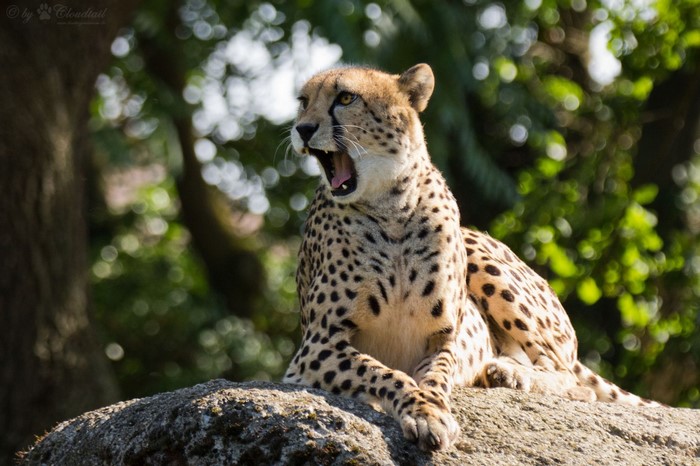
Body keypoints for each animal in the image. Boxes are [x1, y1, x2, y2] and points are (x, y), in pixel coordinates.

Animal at [282, 63, 660, 452]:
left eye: (346, 98)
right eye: (303, 101)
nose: (303, 129)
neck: (391, 207)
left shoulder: (444, 337)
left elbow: (434, 376)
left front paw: (431, 409)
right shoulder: (316, 348)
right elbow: (387, 374)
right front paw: (424, 413)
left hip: (479, 254)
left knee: (570, 378)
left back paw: (508, 372)